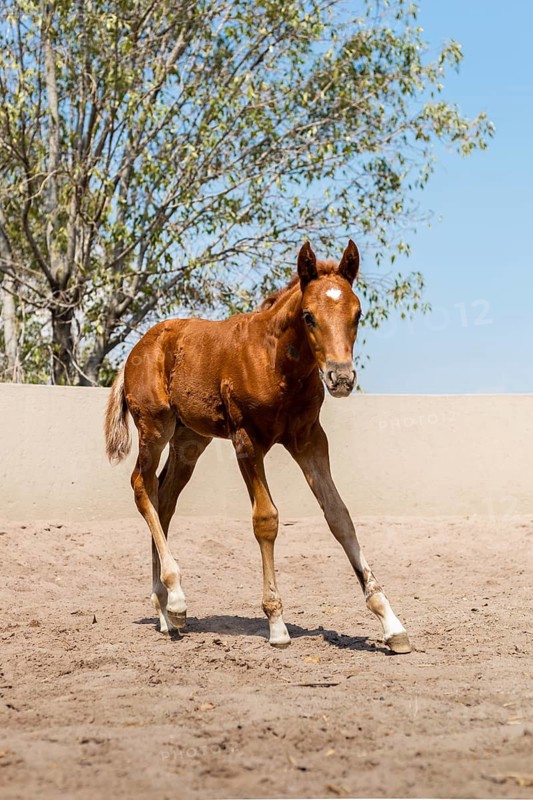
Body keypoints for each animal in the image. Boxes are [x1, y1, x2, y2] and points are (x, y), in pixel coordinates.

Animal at [104, 240, 411, 654]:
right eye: (309, 316)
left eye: (358, 313)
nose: (341, 378)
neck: (276, 363)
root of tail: (136, 350)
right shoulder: (246, 441)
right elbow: (266, 519)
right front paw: (276, 623)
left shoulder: (310, 440)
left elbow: (339, 517)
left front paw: (390, 623)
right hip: (155, 425)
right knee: (141, 485)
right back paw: (176, 597)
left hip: (190, 439)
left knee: (163, 499)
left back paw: (166, 612)